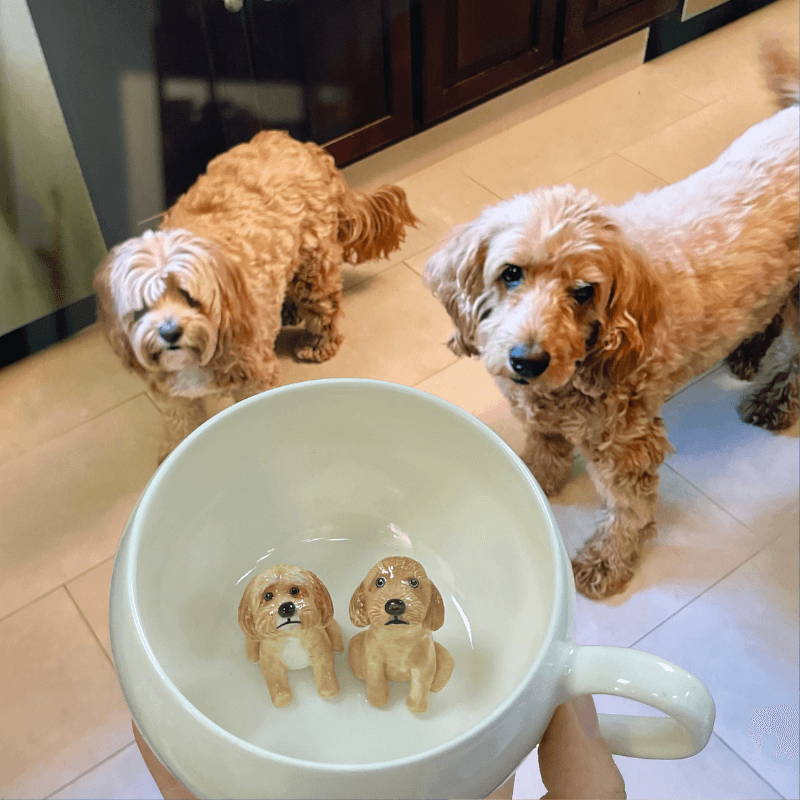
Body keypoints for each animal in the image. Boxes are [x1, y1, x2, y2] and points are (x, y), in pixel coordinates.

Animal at [96, 129, 416, 460]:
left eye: (189, 296)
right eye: (141, 306)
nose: (169, 332)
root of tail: (299, 144)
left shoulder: (254, 377)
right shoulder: (174, 396)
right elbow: (181, 424)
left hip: (314, 266)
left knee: (323, 308)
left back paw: (317, 343)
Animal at [241, 564, 346, 708]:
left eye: (294, 590)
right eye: (268, 596)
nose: (286, 608)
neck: (291, 635)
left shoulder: (320, 650)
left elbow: (325, 670)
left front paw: (329, 690)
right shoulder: (270, 663)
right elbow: (275, 681)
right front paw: (282, 698)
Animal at [346, 556, 454, 712]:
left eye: (414, 582)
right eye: (379, 582)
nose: (395, 605)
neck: (398, 638)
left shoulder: (424, 665)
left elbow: (420, 687)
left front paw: (416, 707)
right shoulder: (372, 661)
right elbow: (375, 682)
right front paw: (379, 701)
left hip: (446, 658)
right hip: (356, 642)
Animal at [428, 39, 796, 600]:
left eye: (583, 292)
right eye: (511, 273)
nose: (527, 361)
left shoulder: (627, 443)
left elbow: (629, 509)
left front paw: (608, 560)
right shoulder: (542, 415)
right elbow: (544, 449)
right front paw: (534, 478)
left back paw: (773, 400)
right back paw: (750, 349)